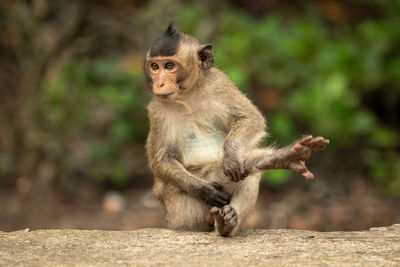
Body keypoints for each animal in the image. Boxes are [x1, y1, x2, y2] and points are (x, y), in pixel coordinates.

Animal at [144, 23, 328, 237]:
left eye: (169, 66)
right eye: (154, 67)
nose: (160, 83)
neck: (188, 95)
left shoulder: (220, 84)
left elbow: (251, 118)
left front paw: (231, 156)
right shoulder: (156, 112)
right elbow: (160, 160)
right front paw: (203, 189)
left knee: (247, 174)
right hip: (181, 211)